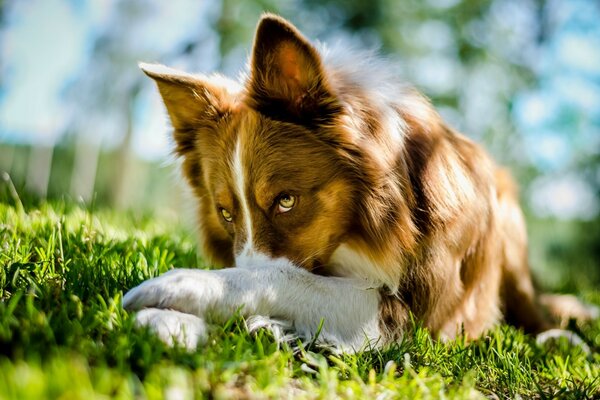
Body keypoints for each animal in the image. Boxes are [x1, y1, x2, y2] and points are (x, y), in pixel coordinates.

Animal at [123, 14, 596, 352]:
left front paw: (180, 286)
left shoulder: (412, 312)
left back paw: (559, 339)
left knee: (531, 309)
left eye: (286, 201)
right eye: (225, 213)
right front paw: (170, 320)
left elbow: (284, 278)